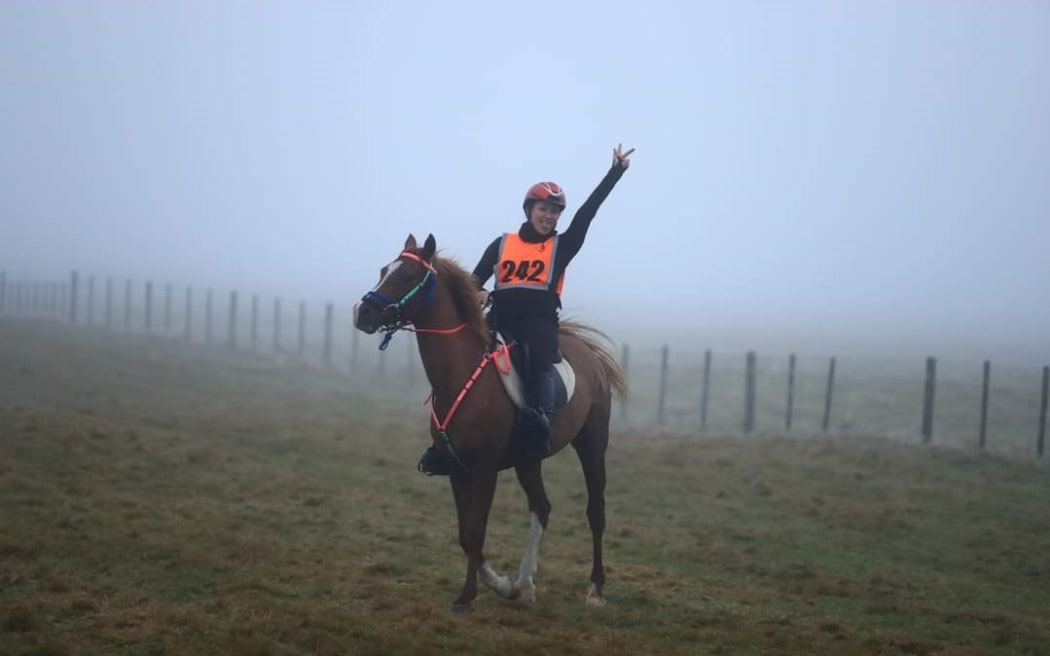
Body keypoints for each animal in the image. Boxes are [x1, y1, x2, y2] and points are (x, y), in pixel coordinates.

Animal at [352, 233, 630, 612]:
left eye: (407, 275)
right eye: (384, 270)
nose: (363, 312)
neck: (459, 373)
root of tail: (589, 354)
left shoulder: (485, 468)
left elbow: (476, 530)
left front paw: (468, 596)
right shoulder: (456, 468)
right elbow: (465, 534)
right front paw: (504, 586)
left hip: (592, 442)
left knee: (595, 511)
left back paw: (595, 589)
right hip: (529, 459)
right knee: (541, 507)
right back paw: (525, 585)